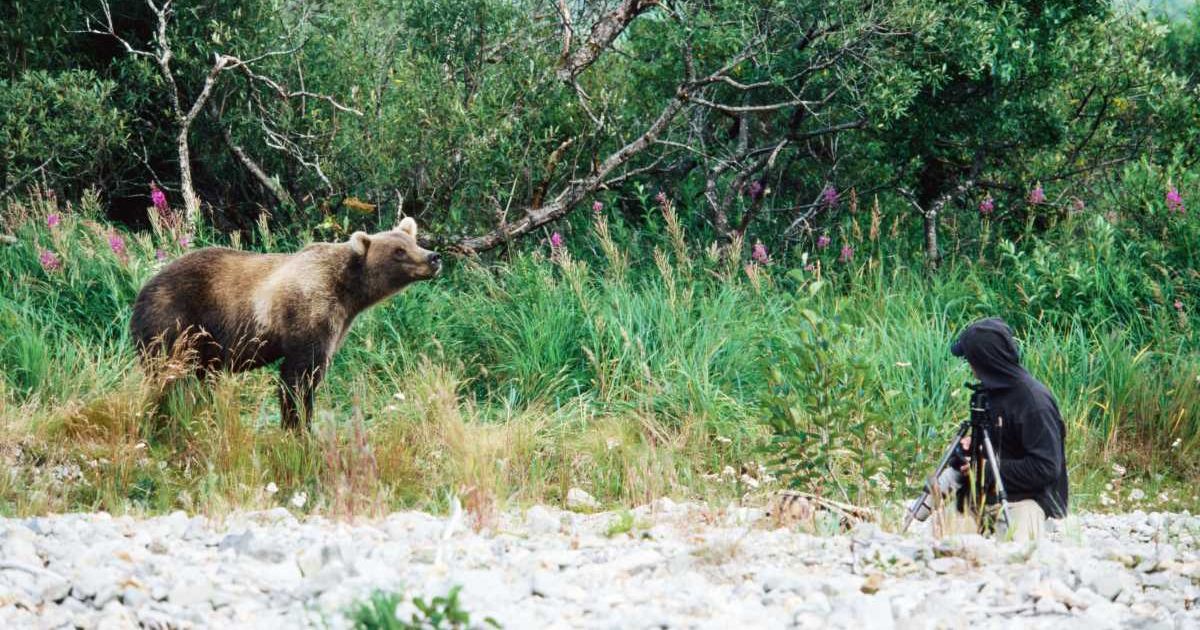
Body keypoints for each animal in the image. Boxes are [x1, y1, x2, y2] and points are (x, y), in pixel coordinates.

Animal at [130, 217, 441, 430]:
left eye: (414, 241)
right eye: (398, 250)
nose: (434, 257)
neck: (348, 291)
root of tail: (142, 290)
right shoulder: (308, 312)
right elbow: (299, 376)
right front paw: (298, 426)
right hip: (174, 320)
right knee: (165, 375)